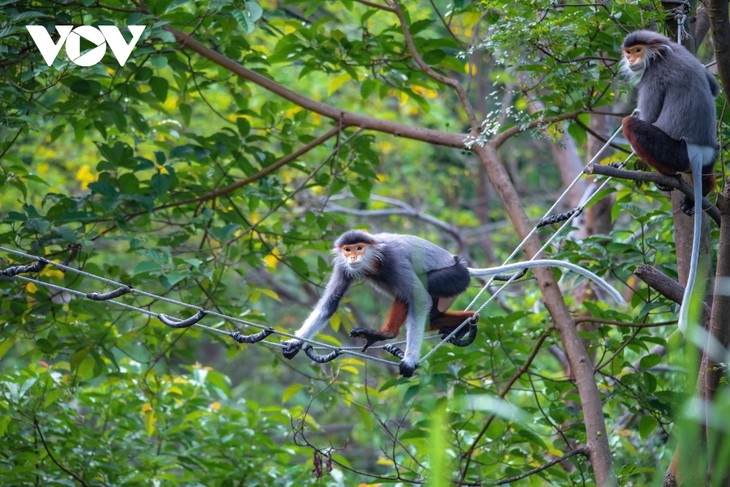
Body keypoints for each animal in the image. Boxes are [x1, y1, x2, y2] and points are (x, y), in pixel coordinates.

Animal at [278, 231, 620, 380]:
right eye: (348, 250)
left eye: (359, 248)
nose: (352, 257)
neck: (373, 263)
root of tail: (462, 264)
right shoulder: (344, 269)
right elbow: (330, 304)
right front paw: (295, 343)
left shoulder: (395, 260)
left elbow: (418, 298)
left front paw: (410, 361)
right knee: (425, 310)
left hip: (453, 277)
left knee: (420, 294)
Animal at [616, 28, 720, 330]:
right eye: (628, 52)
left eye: (636, 51)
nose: (631, 60)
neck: (660, 51)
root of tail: (698, 150)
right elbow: (714, 87)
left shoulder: (653, 76)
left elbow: (649, 115)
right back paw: (706, 186)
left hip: (673, 151)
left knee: (630, 124)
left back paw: (666, 176)